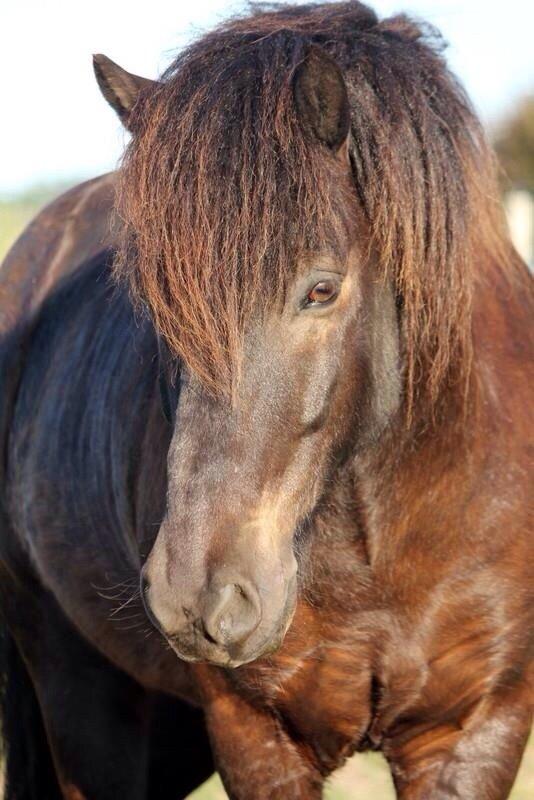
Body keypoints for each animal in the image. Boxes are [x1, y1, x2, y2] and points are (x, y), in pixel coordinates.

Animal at [0, 1, 532, 800]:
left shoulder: (473, 732)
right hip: (81, 692)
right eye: (152, 299)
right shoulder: (256, 738)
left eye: (321, 289)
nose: (198, 599)